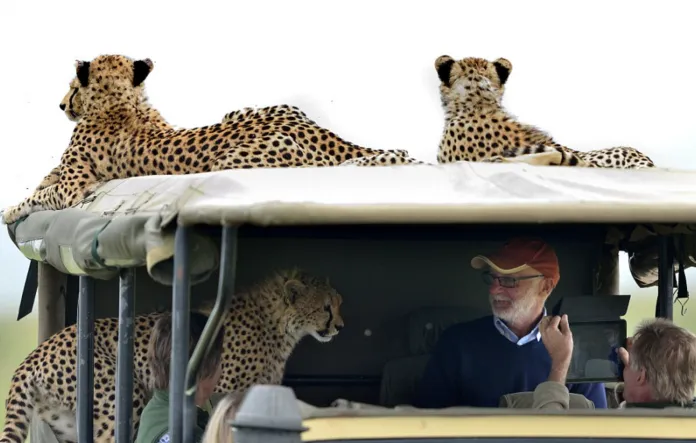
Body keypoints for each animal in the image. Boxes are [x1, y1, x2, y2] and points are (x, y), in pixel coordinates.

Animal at [1, 268, 344, 442]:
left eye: (338, 303)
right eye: (326, 307)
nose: (340, 327)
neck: (275, 322)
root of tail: (33, 356)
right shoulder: (220, 389)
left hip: (64, 422)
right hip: (118, 396)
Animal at [4, 55, 424, 225]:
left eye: (73, 87)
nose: (61, 104)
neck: (123, 102)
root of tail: (312, 129)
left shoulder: (75, 189)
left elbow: (45, 193)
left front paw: (10, 209)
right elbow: (48, 178)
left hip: (237, 161)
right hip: (248, 110)